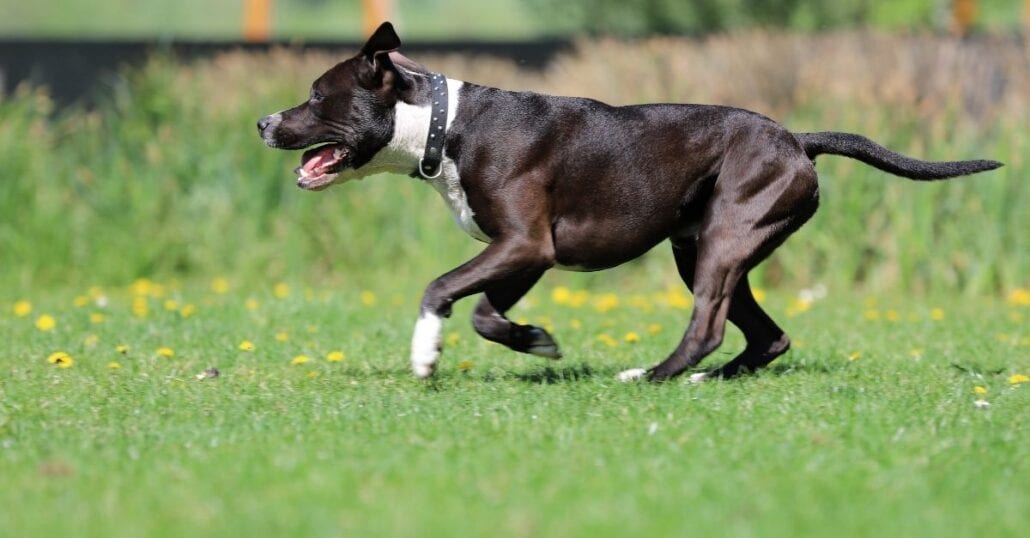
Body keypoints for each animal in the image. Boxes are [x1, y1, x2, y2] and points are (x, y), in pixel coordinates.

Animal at [255, 22, 997, 381]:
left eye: (317, 96)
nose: (263, 122)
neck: (444, 122)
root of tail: (797, 139)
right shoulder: (526, 253)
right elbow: (488, 315)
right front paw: (536, 340)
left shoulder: (524, 244)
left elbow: (439, 289)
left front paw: (424, 357)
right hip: (699, 247)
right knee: (768, 335)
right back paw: (707, 381)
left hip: (724, 240)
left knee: (709, 327)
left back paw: (652, 375)